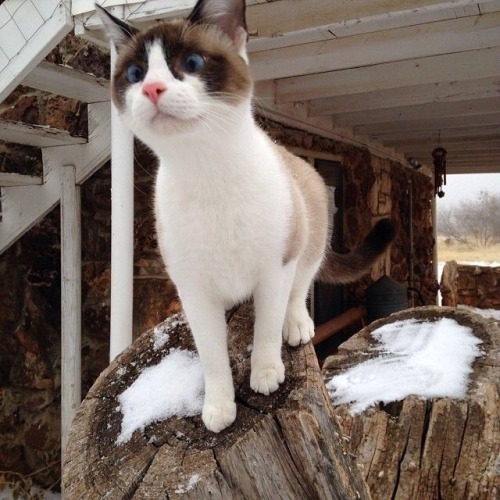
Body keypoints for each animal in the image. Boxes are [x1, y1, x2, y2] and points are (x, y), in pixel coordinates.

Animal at [96, 0, 394, 432]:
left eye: (193, 62)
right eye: (136, 74)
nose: (152, 89)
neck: (207, 171)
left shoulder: (275, 267)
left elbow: (266, 328)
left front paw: (265, 375)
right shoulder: (193, 287)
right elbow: (211, 355)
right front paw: (219, 407)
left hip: (308, 236)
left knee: (301, 287)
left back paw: (297, 324)